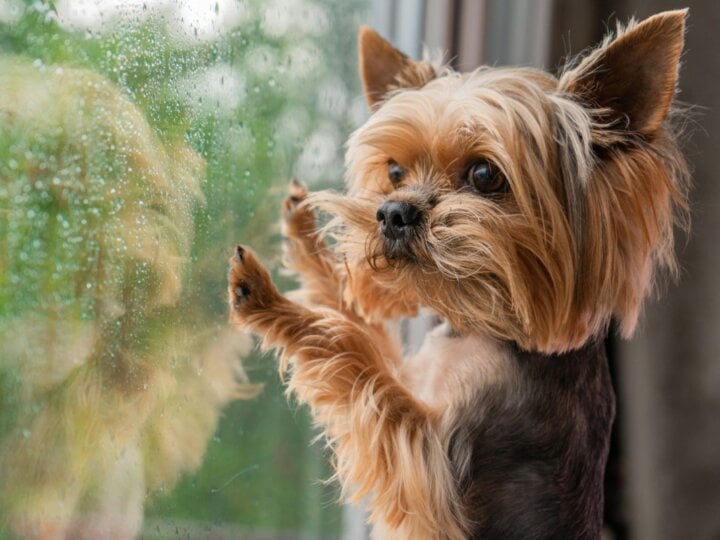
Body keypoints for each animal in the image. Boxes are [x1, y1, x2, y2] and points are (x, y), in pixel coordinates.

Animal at [228, 10, 688, 536]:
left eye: (484, 175)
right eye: (394, 171)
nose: (391, 213)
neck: (480, 330)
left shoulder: (433, 464)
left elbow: (352, 351)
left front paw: (271, 301)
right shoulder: (412, 380)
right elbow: (366, 332)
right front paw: (305, 239)